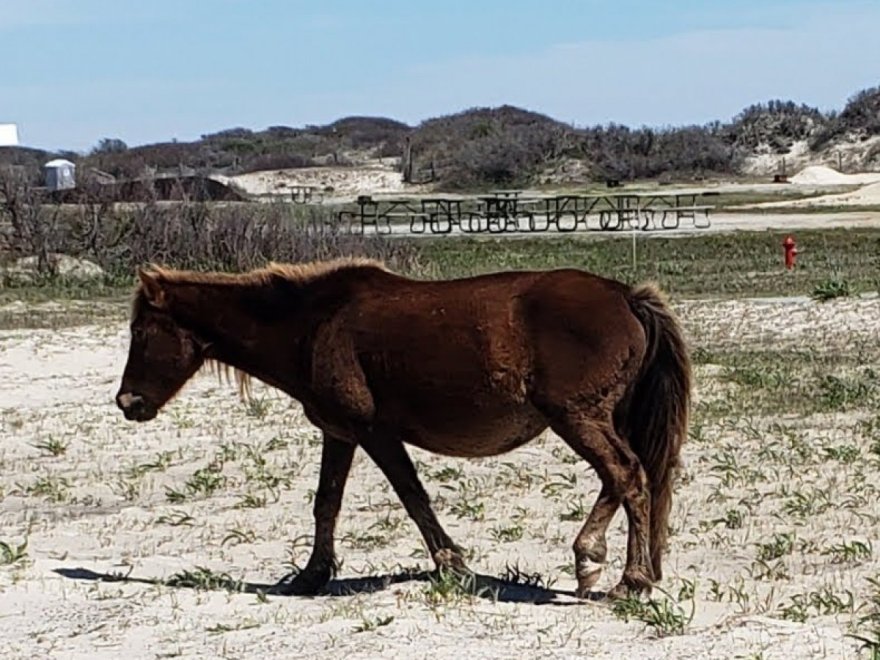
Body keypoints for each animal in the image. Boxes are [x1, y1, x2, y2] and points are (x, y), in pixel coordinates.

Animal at [117, 258, 692, 600]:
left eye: (141, 332)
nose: (127, 402)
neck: (314, 324)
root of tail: (625, 296)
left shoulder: (375, 432)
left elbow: (413, 497)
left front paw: (451, 563)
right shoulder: (341, 434)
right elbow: (327, 503)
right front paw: (312, 575)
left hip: (578, 417)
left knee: (627, 476)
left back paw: (617, 573)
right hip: (598, 418)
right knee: (628, 480)